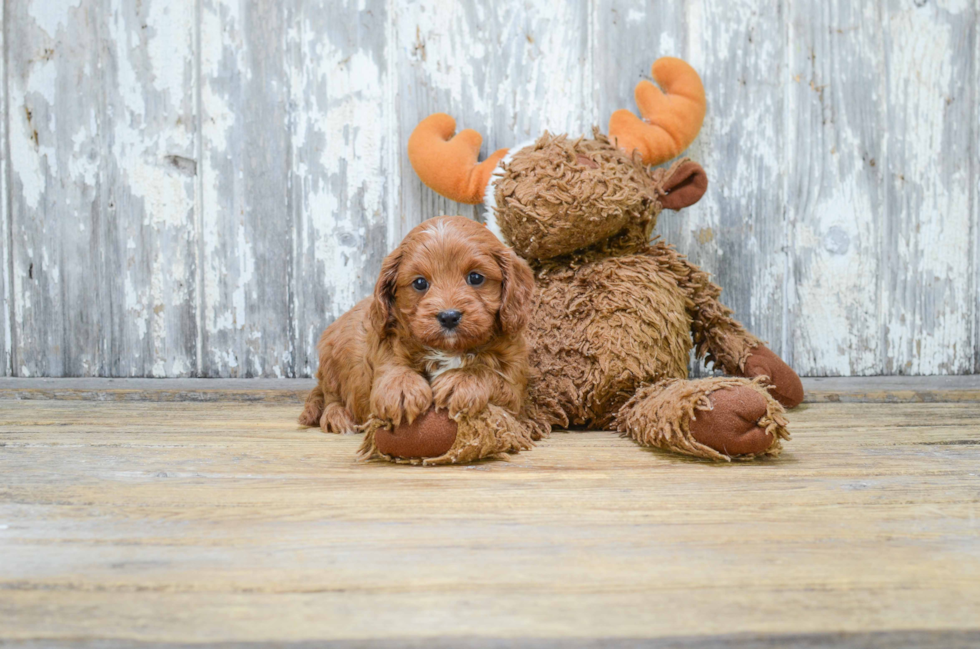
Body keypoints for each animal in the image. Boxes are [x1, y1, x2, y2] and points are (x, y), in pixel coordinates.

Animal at [298, 216, 536, 436]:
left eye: (476, 277)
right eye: (420, 283)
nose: (449, 317)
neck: (450, 350)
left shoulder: (514, 381)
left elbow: (491, 375)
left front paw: (461, 380)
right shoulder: (385, 345)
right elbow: (393, 368)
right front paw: (402, 388)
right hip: (330, 359)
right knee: (330, 396)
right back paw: (338, 416)